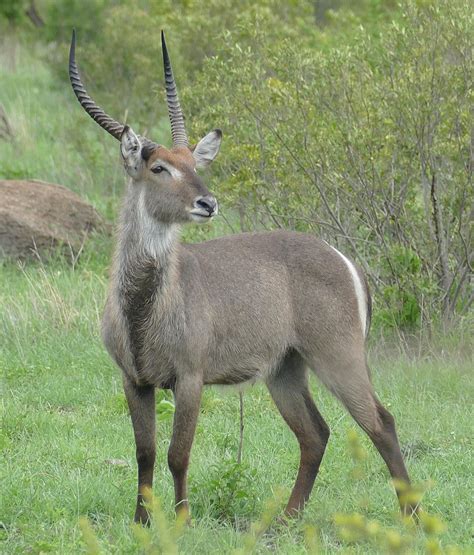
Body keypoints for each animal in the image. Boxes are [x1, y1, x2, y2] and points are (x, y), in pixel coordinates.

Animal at [68, 30, 412, 524]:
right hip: (285, 368)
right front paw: (141, 523)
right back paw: (284, 521)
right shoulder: (133, 380)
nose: (208, 203)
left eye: (195, 164)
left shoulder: (190, 378)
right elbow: (144, 453)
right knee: (316, 433)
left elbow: (177, 454)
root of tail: (344, 259)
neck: (144, 306)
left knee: (381, 423)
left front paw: (181, 521)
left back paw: (411, 518)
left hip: (338, 355)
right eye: (159, 167)